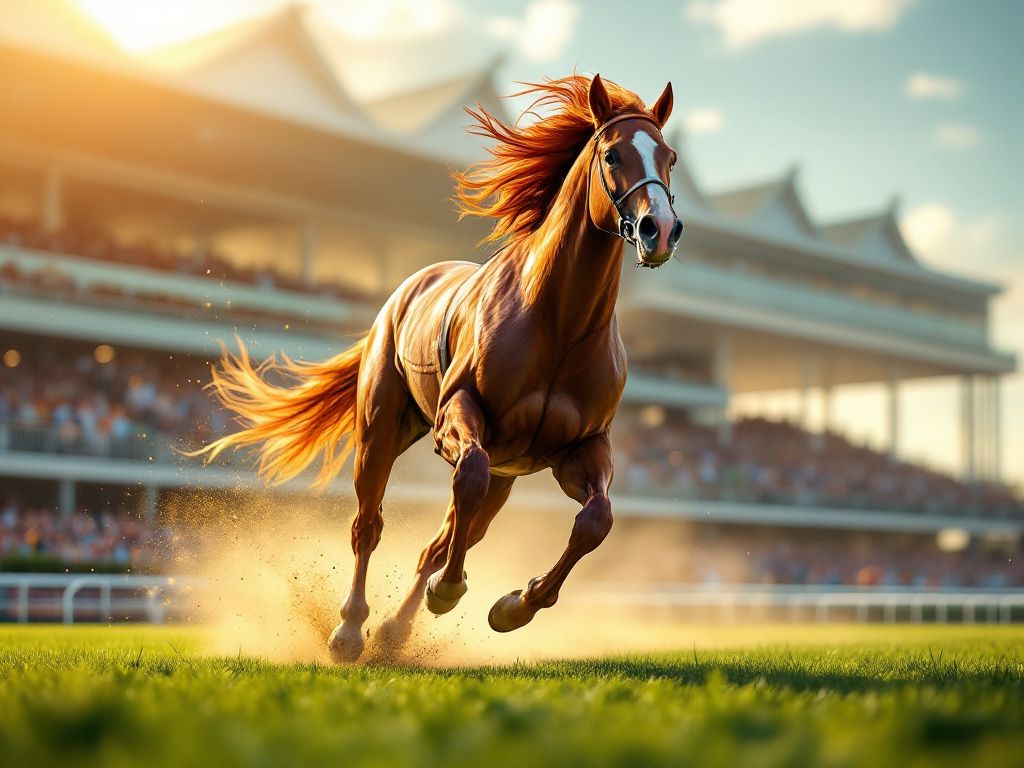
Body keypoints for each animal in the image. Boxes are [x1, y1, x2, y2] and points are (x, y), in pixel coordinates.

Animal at [196, 74, 683, 662]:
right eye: (612, 154)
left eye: (670, 157)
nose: (660, 229)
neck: (559, 321)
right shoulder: (461, 416)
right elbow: (466, 479)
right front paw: (448, 591)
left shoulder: (581, 447)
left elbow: (595, 520)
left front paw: (515, 605)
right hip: (380, 431)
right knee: (370, 524)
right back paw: (351, 630)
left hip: (506, 473)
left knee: (449, 536)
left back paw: (394, 630)